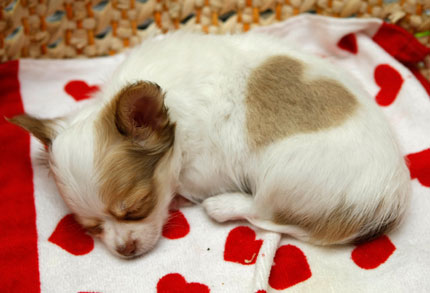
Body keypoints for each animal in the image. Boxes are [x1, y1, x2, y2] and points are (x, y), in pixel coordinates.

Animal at [8, 32, 408, 258]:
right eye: (90, 227)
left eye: (137, 208)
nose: (124, 250)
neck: (175, 111)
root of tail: (388, 205)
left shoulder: (202, 171)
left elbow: (190, 186)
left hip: (283, 175)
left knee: (263, 210)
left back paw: (223, 206)